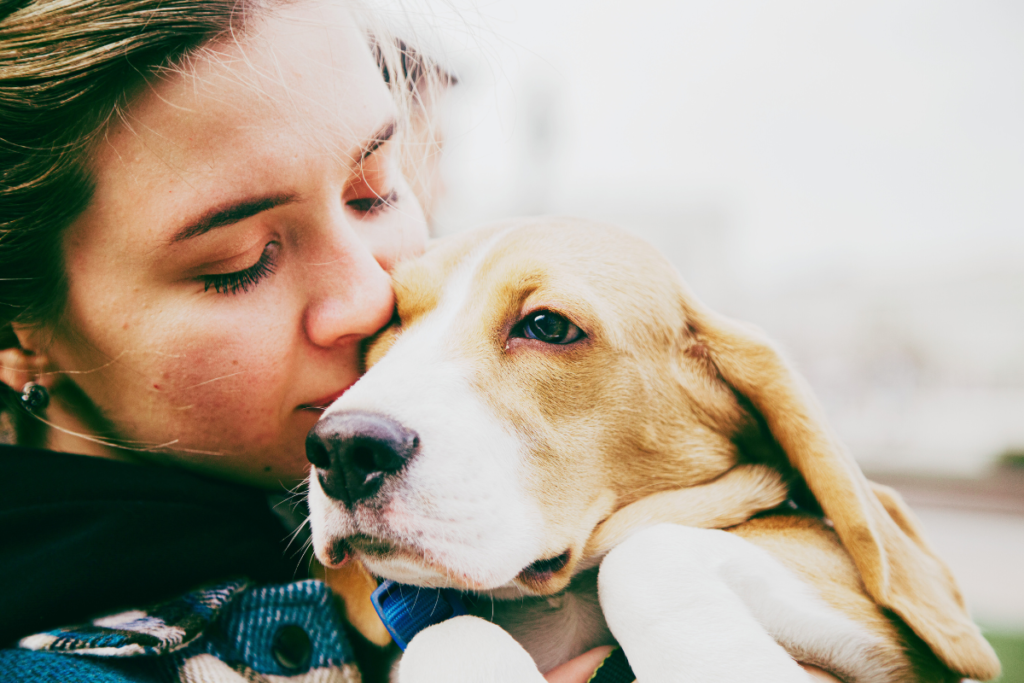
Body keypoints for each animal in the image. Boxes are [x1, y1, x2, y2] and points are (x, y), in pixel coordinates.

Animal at [305, 219, 999, 683]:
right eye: (389, 323)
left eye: (548, 325)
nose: (343, 448)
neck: (557, 603)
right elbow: (449, 631)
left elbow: (643, 555)